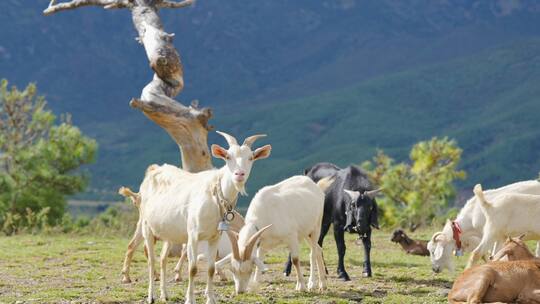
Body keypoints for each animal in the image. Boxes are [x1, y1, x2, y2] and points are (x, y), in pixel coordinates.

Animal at [137, 131, 270, 304]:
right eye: (228, 157)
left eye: (251, 157)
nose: (239, 174)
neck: (215, 195)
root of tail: (153, 170)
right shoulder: (193, 235)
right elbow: (192, 268)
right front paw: (189, 299)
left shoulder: (215, 237)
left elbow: (211, 268)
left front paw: (211, 299)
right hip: (147, 227)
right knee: (151, 261)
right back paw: (151, 296)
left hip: (169, 233)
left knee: (162, 259)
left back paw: (164, 294)